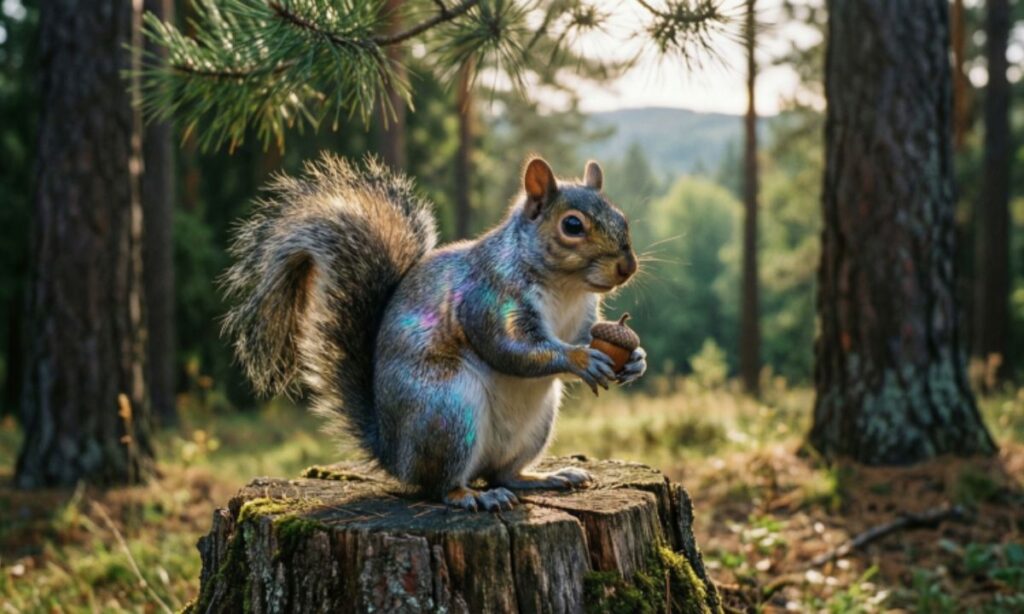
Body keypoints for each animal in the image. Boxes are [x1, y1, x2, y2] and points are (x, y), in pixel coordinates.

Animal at [223, 153, 647, 511]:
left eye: (622, 218)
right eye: (572, 225)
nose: (627, 267)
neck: (566, 288)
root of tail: (393, 454)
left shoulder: (582, 320)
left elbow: (581, 339)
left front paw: (635, 361)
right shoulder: (486, 297)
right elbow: (509, 348)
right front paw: (580, 359)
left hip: (532, 427)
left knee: (504, 474)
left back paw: (544, 477)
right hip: (446, 413)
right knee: (439, 485)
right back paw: (472, 496)